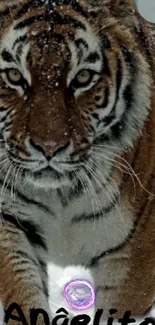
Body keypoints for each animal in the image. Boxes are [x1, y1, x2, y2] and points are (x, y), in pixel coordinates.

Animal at [0, 0, 154, 322]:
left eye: (82, 78)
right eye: (15, 76)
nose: (49, 148)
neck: (61, 195)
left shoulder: (135, 256)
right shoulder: (9, 222)